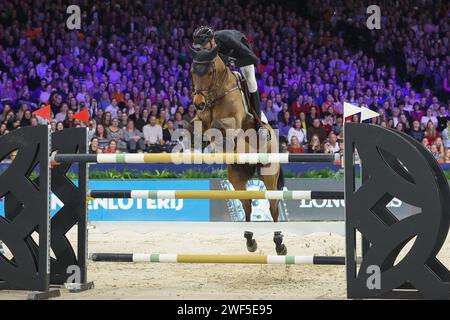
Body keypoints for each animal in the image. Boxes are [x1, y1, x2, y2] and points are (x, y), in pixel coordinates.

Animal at [188, 45, 286, 255]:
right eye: (192, 71)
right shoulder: (201, 119)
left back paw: (279, 242)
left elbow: (219, 125)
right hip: (237, 176)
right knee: (247, 205)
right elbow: (196, 125)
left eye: (209, 72)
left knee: (273, 206)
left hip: (269, 173)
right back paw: (250, 239)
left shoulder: (234, 121)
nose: (198, 103)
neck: (217, 93)